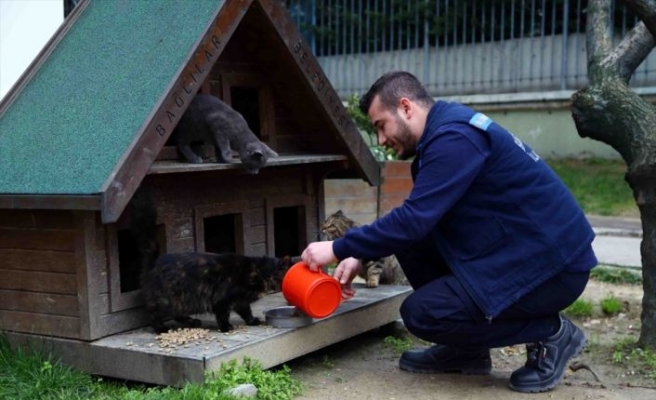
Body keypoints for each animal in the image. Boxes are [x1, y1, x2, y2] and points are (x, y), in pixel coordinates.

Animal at [129, 189, 290, 332]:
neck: (259, 272)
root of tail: (155, 260)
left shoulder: (241, 301)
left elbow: (246, 312)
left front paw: (252, 321)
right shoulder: (223, 299)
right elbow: (223, 315)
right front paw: (226, 328)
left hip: (181, 301)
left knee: (177, 315)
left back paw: (193, 321)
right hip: (168, 300)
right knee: (155, 314)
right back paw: (161, 329)